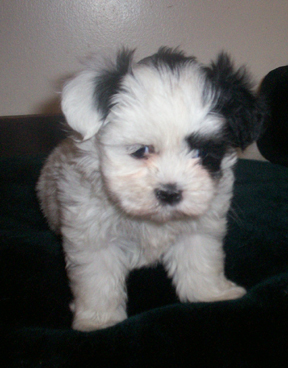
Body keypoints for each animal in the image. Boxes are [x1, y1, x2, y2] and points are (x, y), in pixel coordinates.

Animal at [37, 46, 266, 330]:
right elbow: (98, 277)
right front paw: (98, 320)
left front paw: (212, 294)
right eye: (141, 150)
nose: (170, 192)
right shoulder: (92, 234)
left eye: (202, 153)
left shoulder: (199, 226)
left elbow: (200, 257)